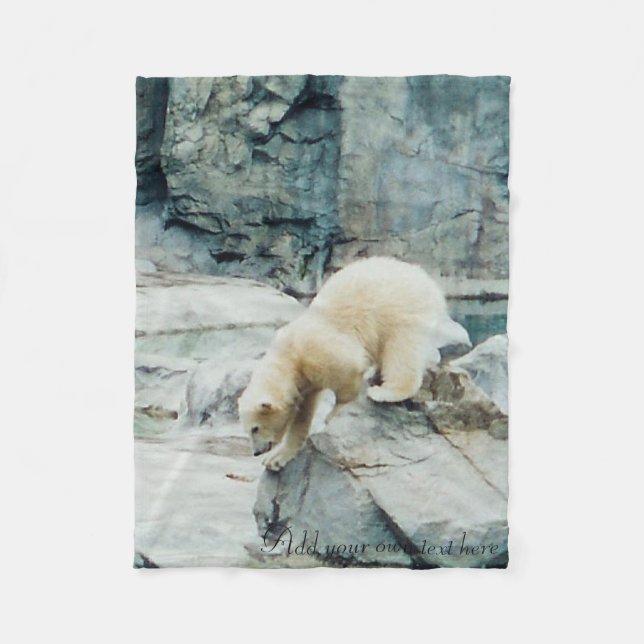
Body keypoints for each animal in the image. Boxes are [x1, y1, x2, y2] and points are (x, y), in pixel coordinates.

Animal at [238, 256, 470, 471]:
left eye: (254, 428)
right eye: (248, 430)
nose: (256, 452)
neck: (289, 357)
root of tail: (421, 274)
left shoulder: (319, 352)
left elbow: (348, 372)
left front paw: (333, 413)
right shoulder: (305, 379)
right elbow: (302, 415)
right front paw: (276, 459)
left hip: (400, 307)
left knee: (402, 348)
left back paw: (386, 391)